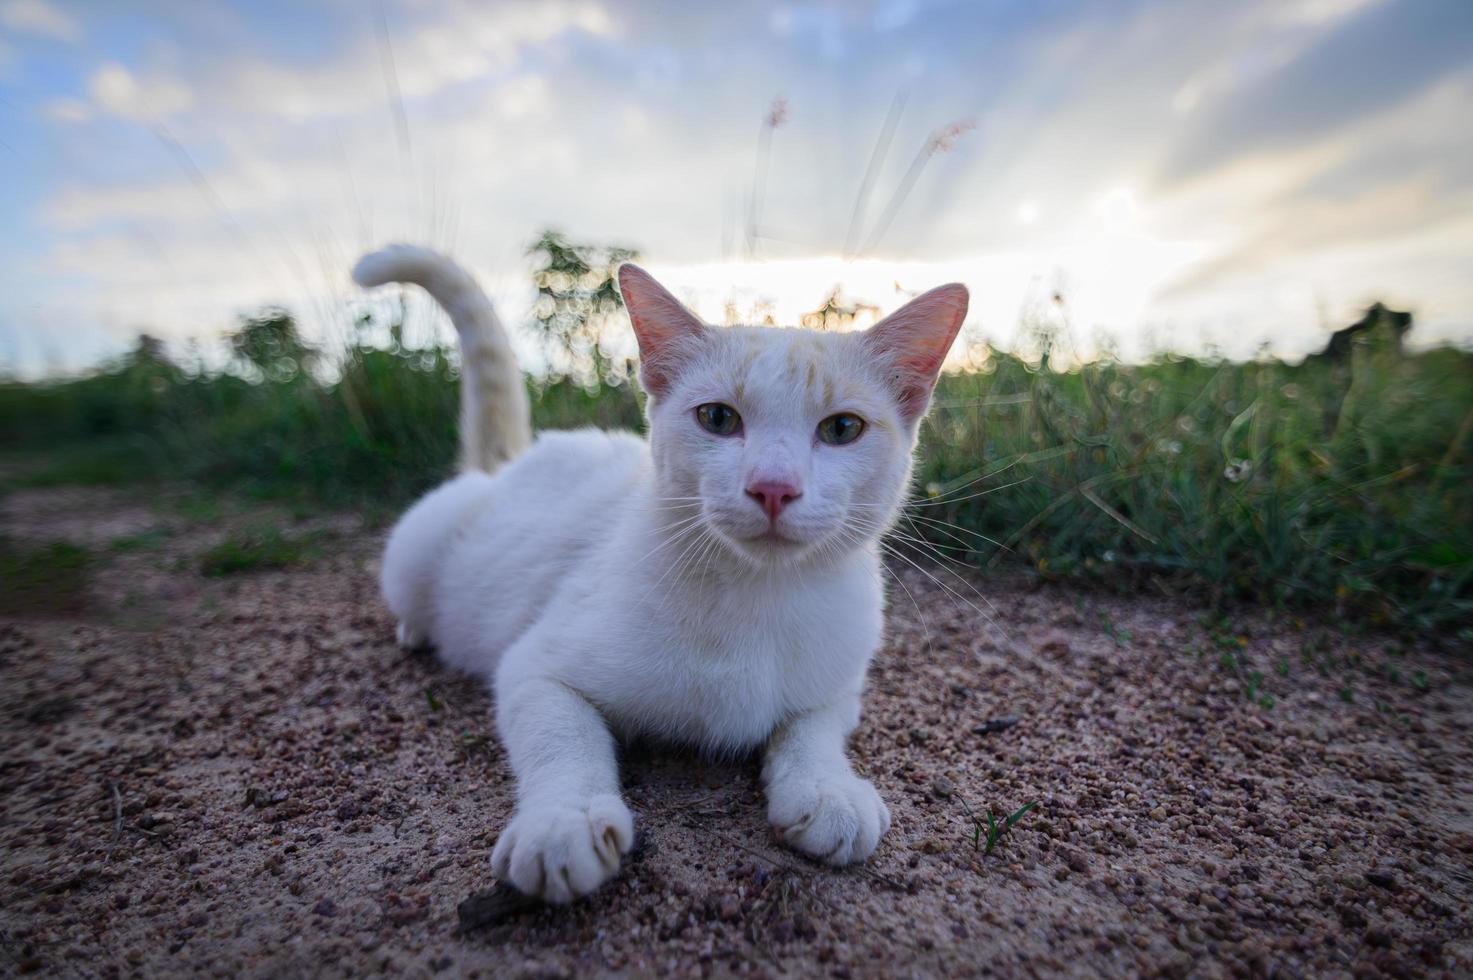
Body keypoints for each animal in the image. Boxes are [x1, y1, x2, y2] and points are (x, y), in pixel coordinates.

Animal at [350, 244, 960, 901]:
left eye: (843, 428)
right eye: (717, 419)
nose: (773, 487)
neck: (756, 597)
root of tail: (513, 462)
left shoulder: (839, 687)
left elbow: (812, 728)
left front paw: (827, 788)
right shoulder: (535, 668)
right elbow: (562, 735)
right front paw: (564, 821)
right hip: (416, 547)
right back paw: (416, 631)